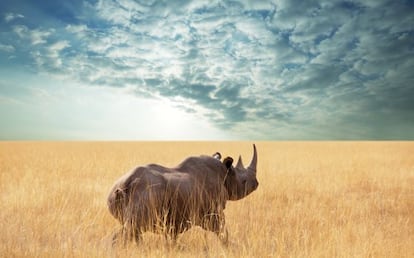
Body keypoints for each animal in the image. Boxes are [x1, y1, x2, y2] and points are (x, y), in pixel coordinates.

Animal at [106, 144, 258, 245]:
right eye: (244, 181)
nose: (256, 184)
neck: (225, 174)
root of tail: (124, 185)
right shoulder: (213, 212)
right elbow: (222, 233)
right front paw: (232, 247)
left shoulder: (175, 218)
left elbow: (172, 238)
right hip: (145, 193)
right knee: (131, 229)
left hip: (120, 194)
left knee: (133, 231)